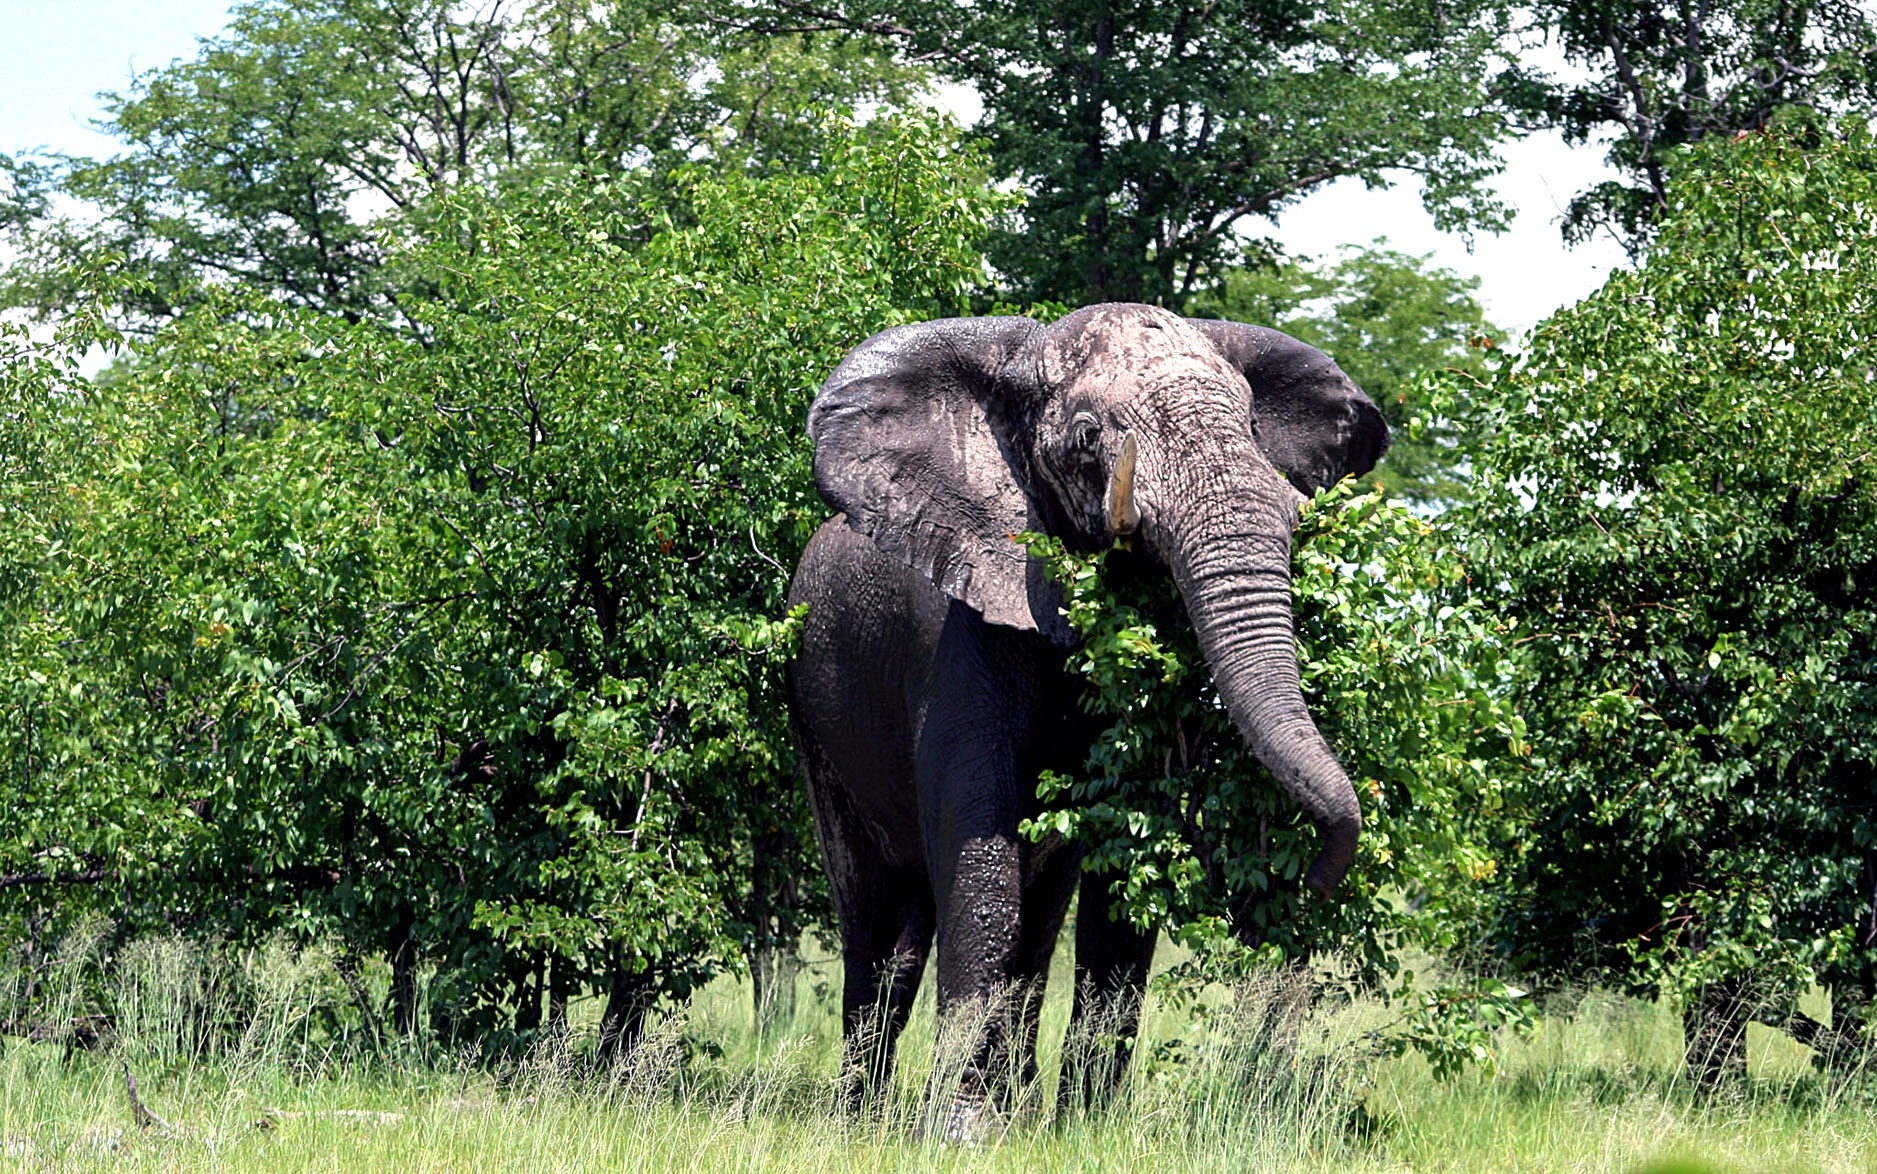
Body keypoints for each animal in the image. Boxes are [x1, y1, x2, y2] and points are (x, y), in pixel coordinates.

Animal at [785, 302, 1388, 1138]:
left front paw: (1087, 1127)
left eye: (1248, 423)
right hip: (814, 718)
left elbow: (1125, 857)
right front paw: (962, 1135)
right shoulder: (963, 621)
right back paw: (860, 1124)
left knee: (1023, 923)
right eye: (1086, 436)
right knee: (875, 920)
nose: (1302, 880)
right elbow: (980, 843)